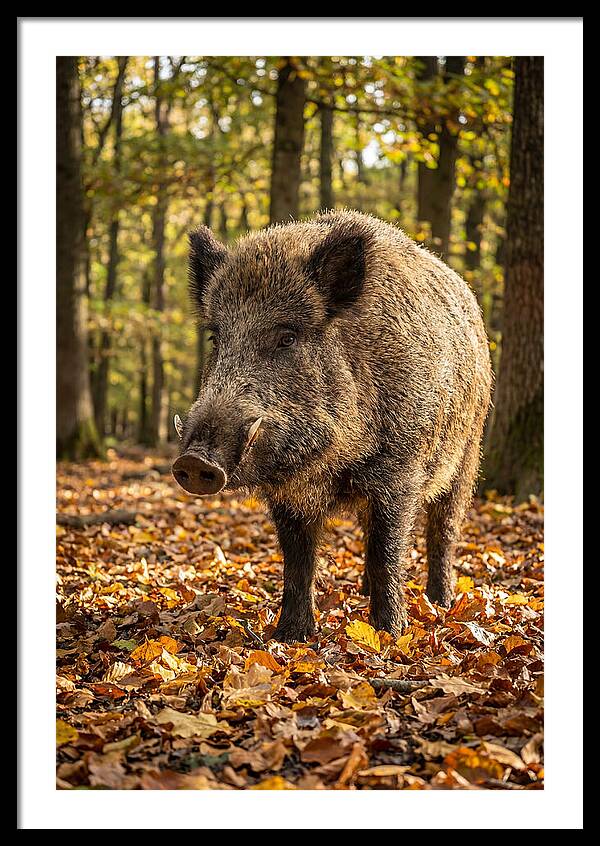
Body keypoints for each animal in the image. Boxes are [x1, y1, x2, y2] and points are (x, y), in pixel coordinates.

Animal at [172, 210, 492, 642]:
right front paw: (290, 636)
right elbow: (298, 560)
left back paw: (440, 602)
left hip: (468, 452)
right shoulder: (288, 495)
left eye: (287, 337)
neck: (329, 463)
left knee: (443, 529)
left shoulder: (400, 471)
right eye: (215, 338)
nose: (194, 461)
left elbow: (388, 550)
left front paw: (389, 634)